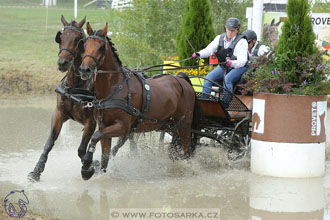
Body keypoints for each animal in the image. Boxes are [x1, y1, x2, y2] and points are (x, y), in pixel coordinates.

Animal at [26, 15, 113, 180]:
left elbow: (81, 149)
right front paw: (36, 171)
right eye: (61, 38)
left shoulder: (91, 122)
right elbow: (49, 143)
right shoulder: (59, 114)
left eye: (78, 39)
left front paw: (91, 166)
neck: (75, 86)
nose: (62, 63)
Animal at [77, 22, 199, 180]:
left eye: (101, 47)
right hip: (173, 126)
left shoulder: (123, 127)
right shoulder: (105, 126)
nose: (84, 70)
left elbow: (95, 137)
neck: (115, 87)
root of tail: (181, 79)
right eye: (84, 45)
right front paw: (97, 169)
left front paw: (86, 166)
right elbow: (105, 156)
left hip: (185, 124)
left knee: (186, 151)